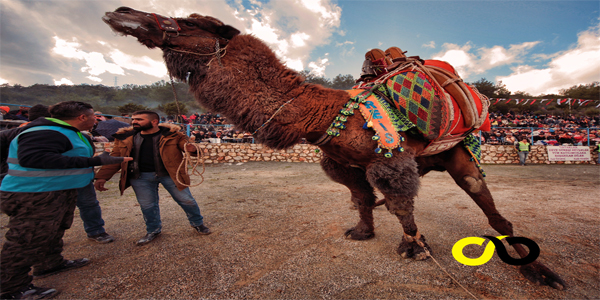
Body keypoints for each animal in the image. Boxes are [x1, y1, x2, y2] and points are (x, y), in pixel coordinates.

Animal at [101, 7, 564, 290]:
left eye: (187, 22)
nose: (119, 12)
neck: (321, 114)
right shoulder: (343, 163)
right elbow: (361, 198)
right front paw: (363, 232)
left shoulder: (388, 159)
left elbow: (399, 204)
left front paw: (414, 247)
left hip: (457, 152)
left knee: (487, 202)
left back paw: (541, 272)